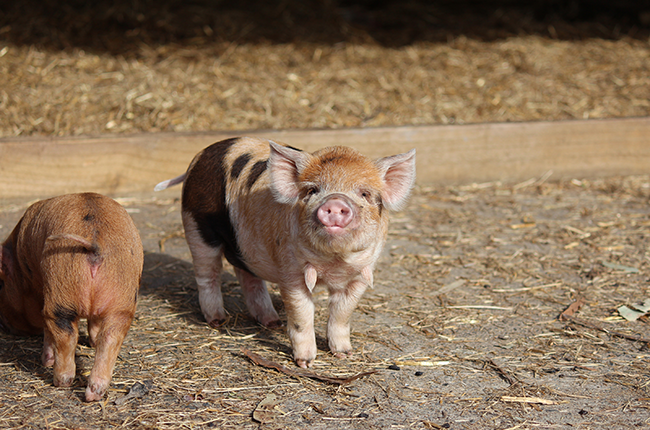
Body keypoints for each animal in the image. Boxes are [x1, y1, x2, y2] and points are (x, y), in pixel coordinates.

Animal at [0, 193, 144, 401]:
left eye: (1, 283)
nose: (4, 326)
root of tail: (95, 243)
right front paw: (91, 342)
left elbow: (47, 329)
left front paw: (46, 361)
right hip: (124, 299)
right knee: (110, 337)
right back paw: (93, 394)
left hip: (60, 284)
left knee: (65, 333)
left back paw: (59, 380)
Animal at [155, 137, 415, 368]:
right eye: (312, 190)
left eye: (364, 193)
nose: (335, 203)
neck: (334, 262)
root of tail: (199, 157)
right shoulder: (291, 273)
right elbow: (302, 315)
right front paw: (305, 363)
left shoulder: (362, 273)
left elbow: (342, 312)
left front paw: (344, 354)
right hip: (196, 226)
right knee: (207, 274)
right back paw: (218, 320)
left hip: (243, 244)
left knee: (247, 275)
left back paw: (273, 323)